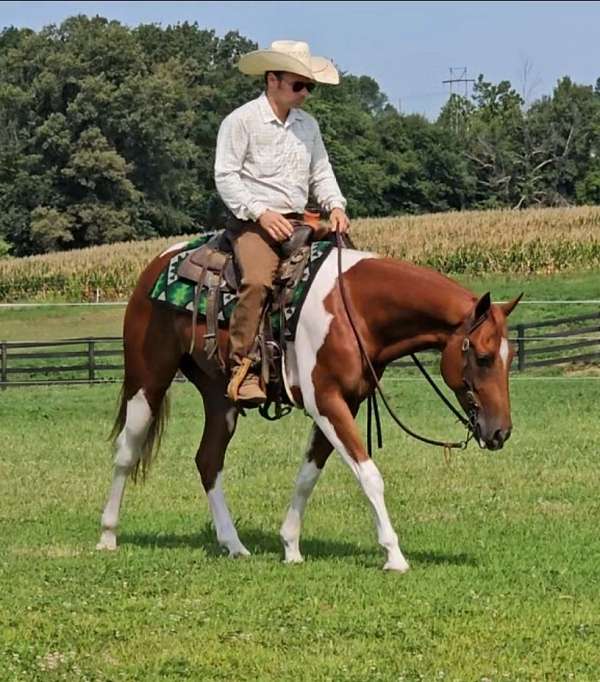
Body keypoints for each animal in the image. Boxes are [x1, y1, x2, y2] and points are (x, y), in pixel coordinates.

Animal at [96, 238, 521, 572]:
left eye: (510, 356)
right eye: (484, 357)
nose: (500, 432)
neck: (356, 310)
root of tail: (155, 265)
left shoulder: (345, 403)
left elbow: (307, 475)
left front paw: (290, 546)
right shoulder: (327, 402)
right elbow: (369, 475)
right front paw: (394, 555)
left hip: (220, 396)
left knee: (208, 460)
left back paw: (234, 544)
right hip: (147, 379)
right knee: (126, 452)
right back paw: (108, 535)